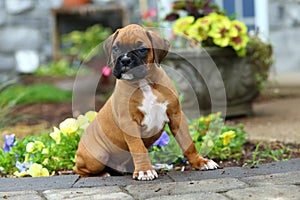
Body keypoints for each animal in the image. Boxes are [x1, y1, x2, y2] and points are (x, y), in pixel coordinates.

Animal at [74, 24, 219, 180]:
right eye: (116, 48)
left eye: (142, 49)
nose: (125, 60)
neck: (144, 83)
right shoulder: (129, 122)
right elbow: (138, 147)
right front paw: (144, 170)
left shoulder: (176, 115)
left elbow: (188, 143)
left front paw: (201, 162)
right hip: (97, 156)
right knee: (79, 170)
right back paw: (104, 173)